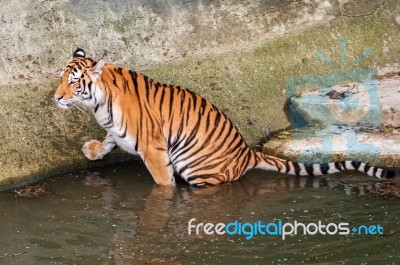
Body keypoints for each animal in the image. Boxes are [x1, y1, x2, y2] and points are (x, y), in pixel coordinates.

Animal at [54, 48, 396, 187]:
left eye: (73, 82)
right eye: (60, 79)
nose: (56, 97)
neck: (100, 104)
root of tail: (248, 153)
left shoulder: (153, 149)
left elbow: (163, 183)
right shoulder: (116, 130)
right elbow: (110, 139)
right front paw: (92, 150)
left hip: (197, 168)